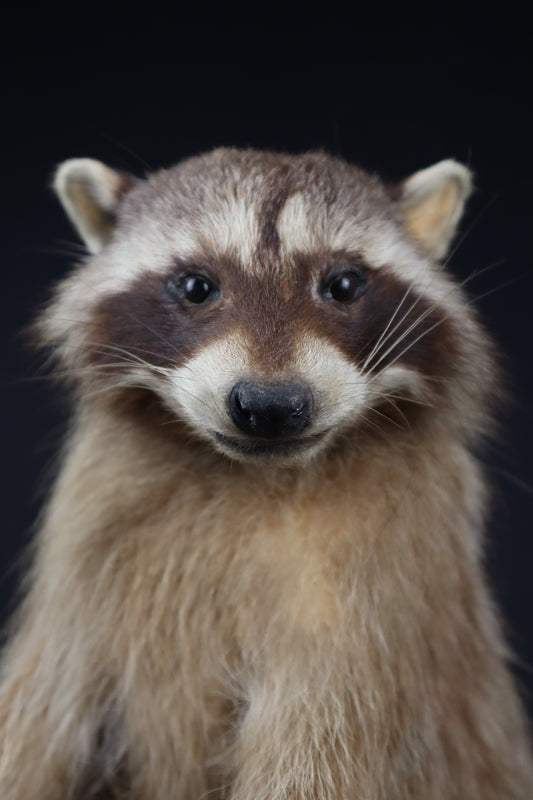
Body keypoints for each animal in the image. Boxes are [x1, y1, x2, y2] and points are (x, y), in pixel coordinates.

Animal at [0, 148, 531, 799]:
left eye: (343, 285)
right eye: (196, 286)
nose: (270, 405)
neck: (256, 476)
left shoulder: (373, 612)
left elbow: (320, 755)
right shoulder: (81, 585)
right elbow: (35, 718)